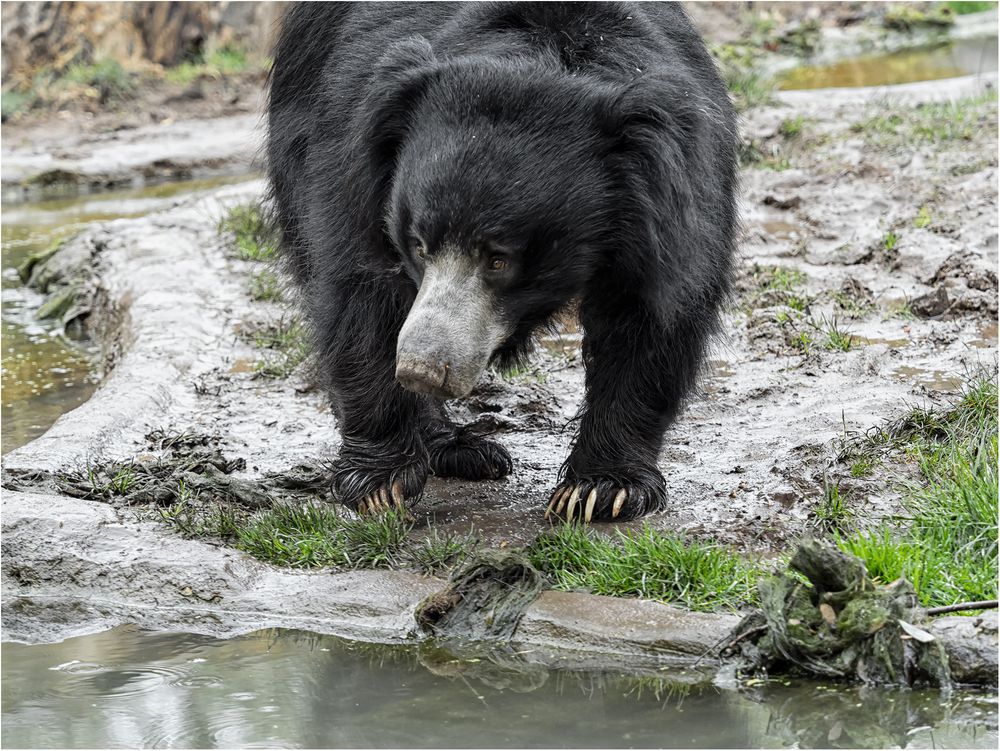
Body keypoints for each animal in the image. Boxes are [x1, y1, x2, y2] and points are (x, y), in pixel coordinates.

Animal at [266, 1, 736, 524]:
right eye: (419, 245)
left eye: (499, 260)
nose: (420, 370)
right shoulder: (355, 158)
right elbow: (362, 289)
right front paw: (380, 482)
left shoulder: (677, 193)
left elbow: (651, 314)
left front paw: (601, 490)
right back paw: (455, 449)